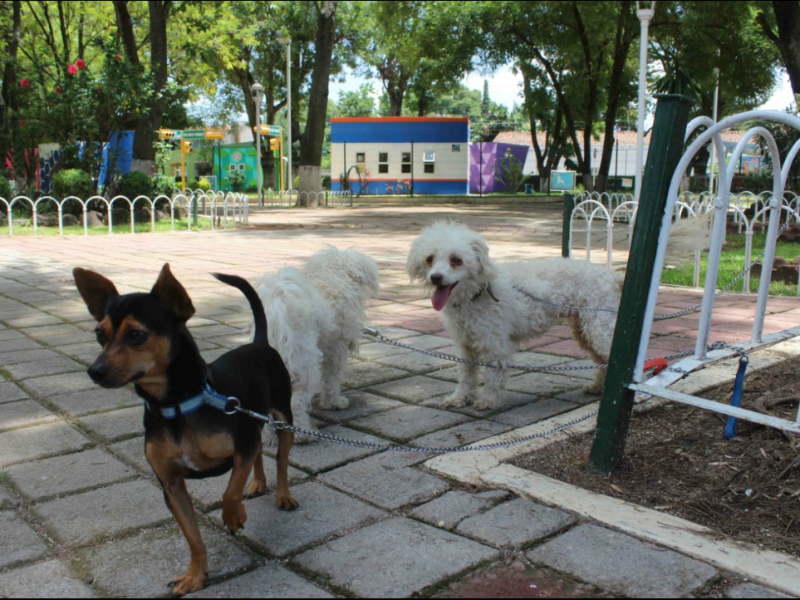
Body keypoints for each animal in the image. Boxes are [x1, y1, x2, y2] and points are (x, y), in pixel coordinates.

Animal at [73, 264, 298, 596]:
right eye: (99, 334)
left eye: (136, 334)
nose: (94, 371)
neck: (176, 405)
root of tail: (258, 342)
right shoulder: (171, 485)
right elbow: (193, 537)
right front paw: (195, 576)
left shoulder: (241, 446)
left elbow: (230, 491)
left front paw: (234, 516)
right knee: (259, 450)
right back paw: (257, 483)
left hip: (283, 419)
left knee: (281, 461)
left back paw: (283, 495)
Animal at [256, 246, 382, 438]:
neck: (333, 279)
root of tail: (277, 309)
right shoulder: (337, 350)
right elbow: (331, 379)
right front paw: (335, 402)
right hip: (303, 364)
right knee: (297, 402)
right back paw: (302, 434)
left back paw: (267, 439)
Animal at [406, 220, 620, 412]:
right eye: (430, 259)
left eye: (456, 260)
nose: (435, 277)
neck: (477, 293)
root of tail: (611, 276)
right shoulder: (465, 346)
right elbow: (466, 376)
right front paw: (459, 398)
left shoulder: (496, 346)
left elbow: (493, 378)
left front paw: (488, 401)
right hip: (584, 332)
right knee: (604, 362)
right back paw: (597, 388)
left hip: (598, 330)